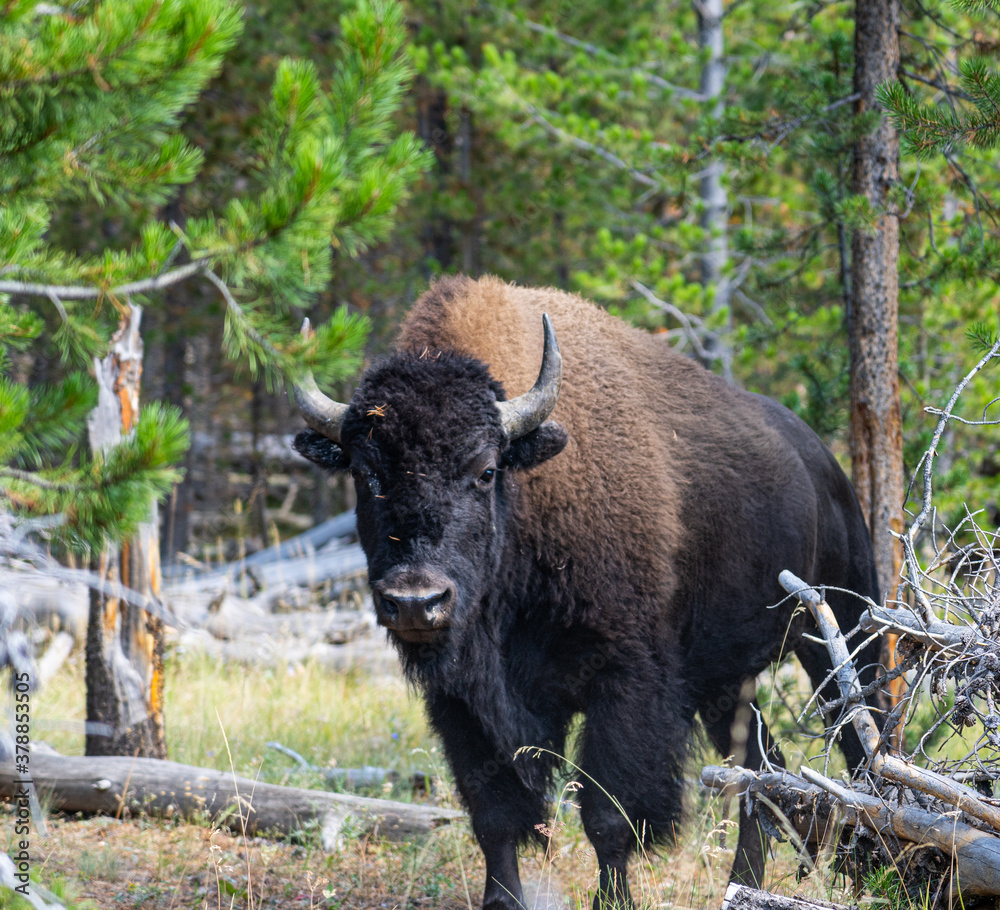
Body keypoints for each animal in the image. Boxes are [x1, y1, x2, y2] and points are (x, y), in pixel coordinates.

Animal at [292, 278, 880, 910]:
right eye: (365, 474)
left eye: (485, 471)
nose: (415, 601)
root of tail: (826, 466)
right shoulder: (462, 703)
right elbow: (493, 815)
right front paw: (503, 900)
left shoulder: (623, 682)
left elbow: (606, 814)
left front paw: (613, 898)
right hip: (725, 682)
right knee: (758, 771)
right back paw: (742, 883)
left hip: (842, 632)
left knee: (860, 739)